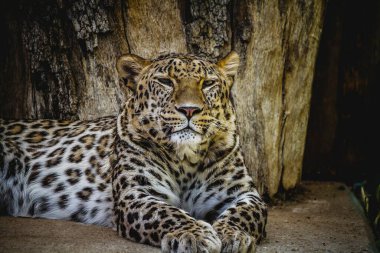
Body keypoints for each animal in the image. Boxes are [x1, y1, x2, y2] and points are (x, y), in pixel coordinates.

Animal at [0, 52, 268, 253]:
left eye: (208, 83)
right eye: (166, 82)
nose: (189, 110)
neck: (185, 159)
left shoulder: (241, 193)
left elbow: (246, 213)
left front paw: (230, 234)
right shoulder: (137, 194)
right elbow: (167, 212)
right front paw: (195, 235)